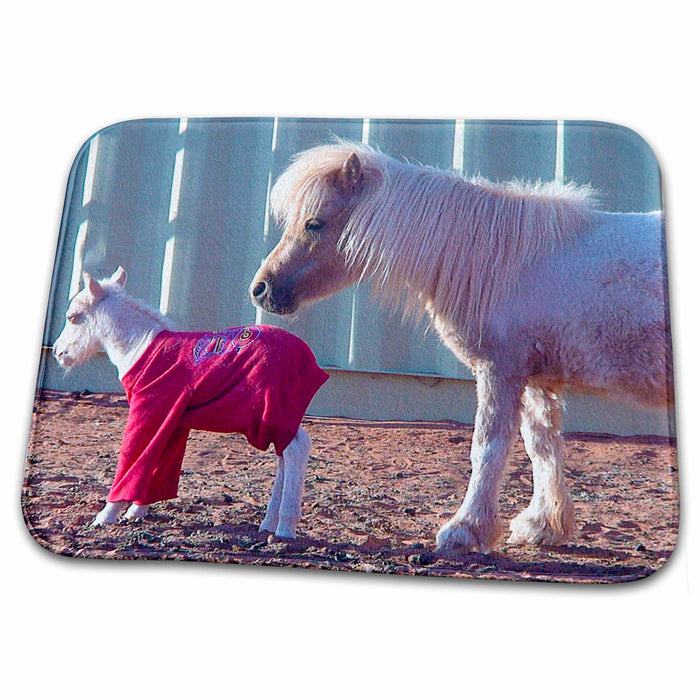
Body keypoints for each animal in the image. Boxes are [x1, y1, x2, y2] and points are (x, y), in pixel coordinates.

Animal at [54, 266, 328, 536]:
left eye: (72, 317)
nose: (58, 352)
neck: (139, 348)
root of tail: (306, 359)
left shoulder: (149, 409)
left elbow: (133, 458)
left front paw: (106, 515)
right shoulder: (172, 419)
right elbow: (158, 460)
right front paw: (137, 511)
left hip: (272, 410)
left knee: (295, 449)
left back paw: (284, 527)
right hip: (280, 413)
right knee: (287, 452)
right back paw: (268, 523)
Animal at [252, 142, 672, 556]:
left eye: (314, 223)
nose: (261, 289)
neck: (503, 260)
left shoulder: (499, 371)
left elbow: (488, 447)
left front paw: (464, 530)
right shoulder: (535, 379)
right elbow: (541, 446)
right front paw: (542, 524)